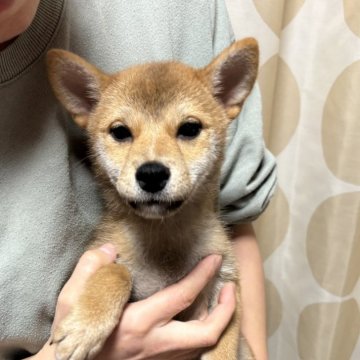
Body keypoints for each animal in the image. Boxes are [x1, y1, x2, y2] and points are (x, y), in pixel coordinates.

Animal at [46, 38, 258, 358]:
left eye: (190, 128)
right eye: (120, 132)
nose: (152, 174)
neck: (164, 238)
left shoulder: (226, 286)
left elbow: (225, 342)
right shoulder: (107, 256)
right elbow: (117, 272)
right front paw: (85, 325)